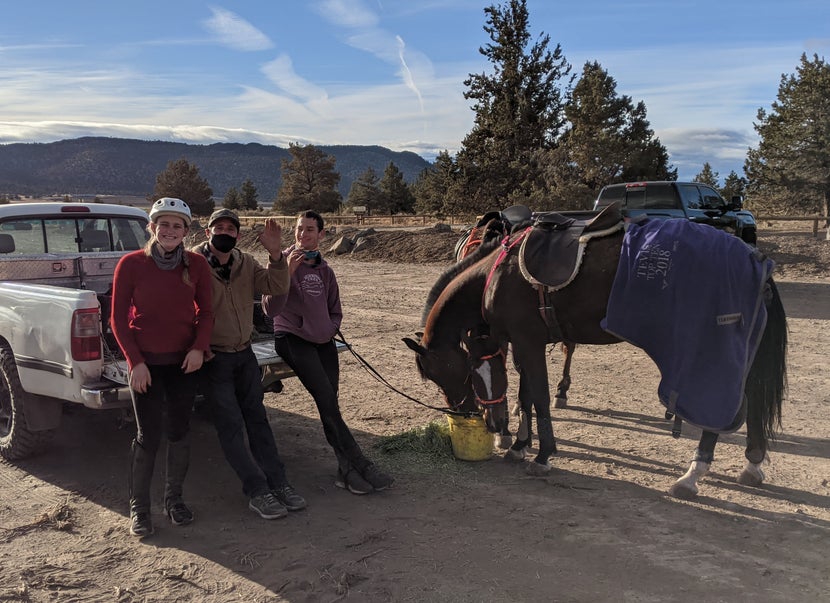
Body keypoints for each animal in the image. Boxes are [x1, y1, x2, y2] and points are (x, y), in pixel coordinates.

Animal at [406, 215, 788, 498]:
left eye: (450, 373)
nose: (477, 418)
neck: (496, 274)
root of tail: (753, 258)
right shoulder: (523, 343)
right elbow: (526, 395)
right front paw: (519, 445)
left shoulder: (527, 341)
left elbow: (538, 396)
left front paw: (541, 455)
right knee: (753, 399)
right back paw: (752, 464)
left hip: (708, 352)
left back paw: (692, 475)